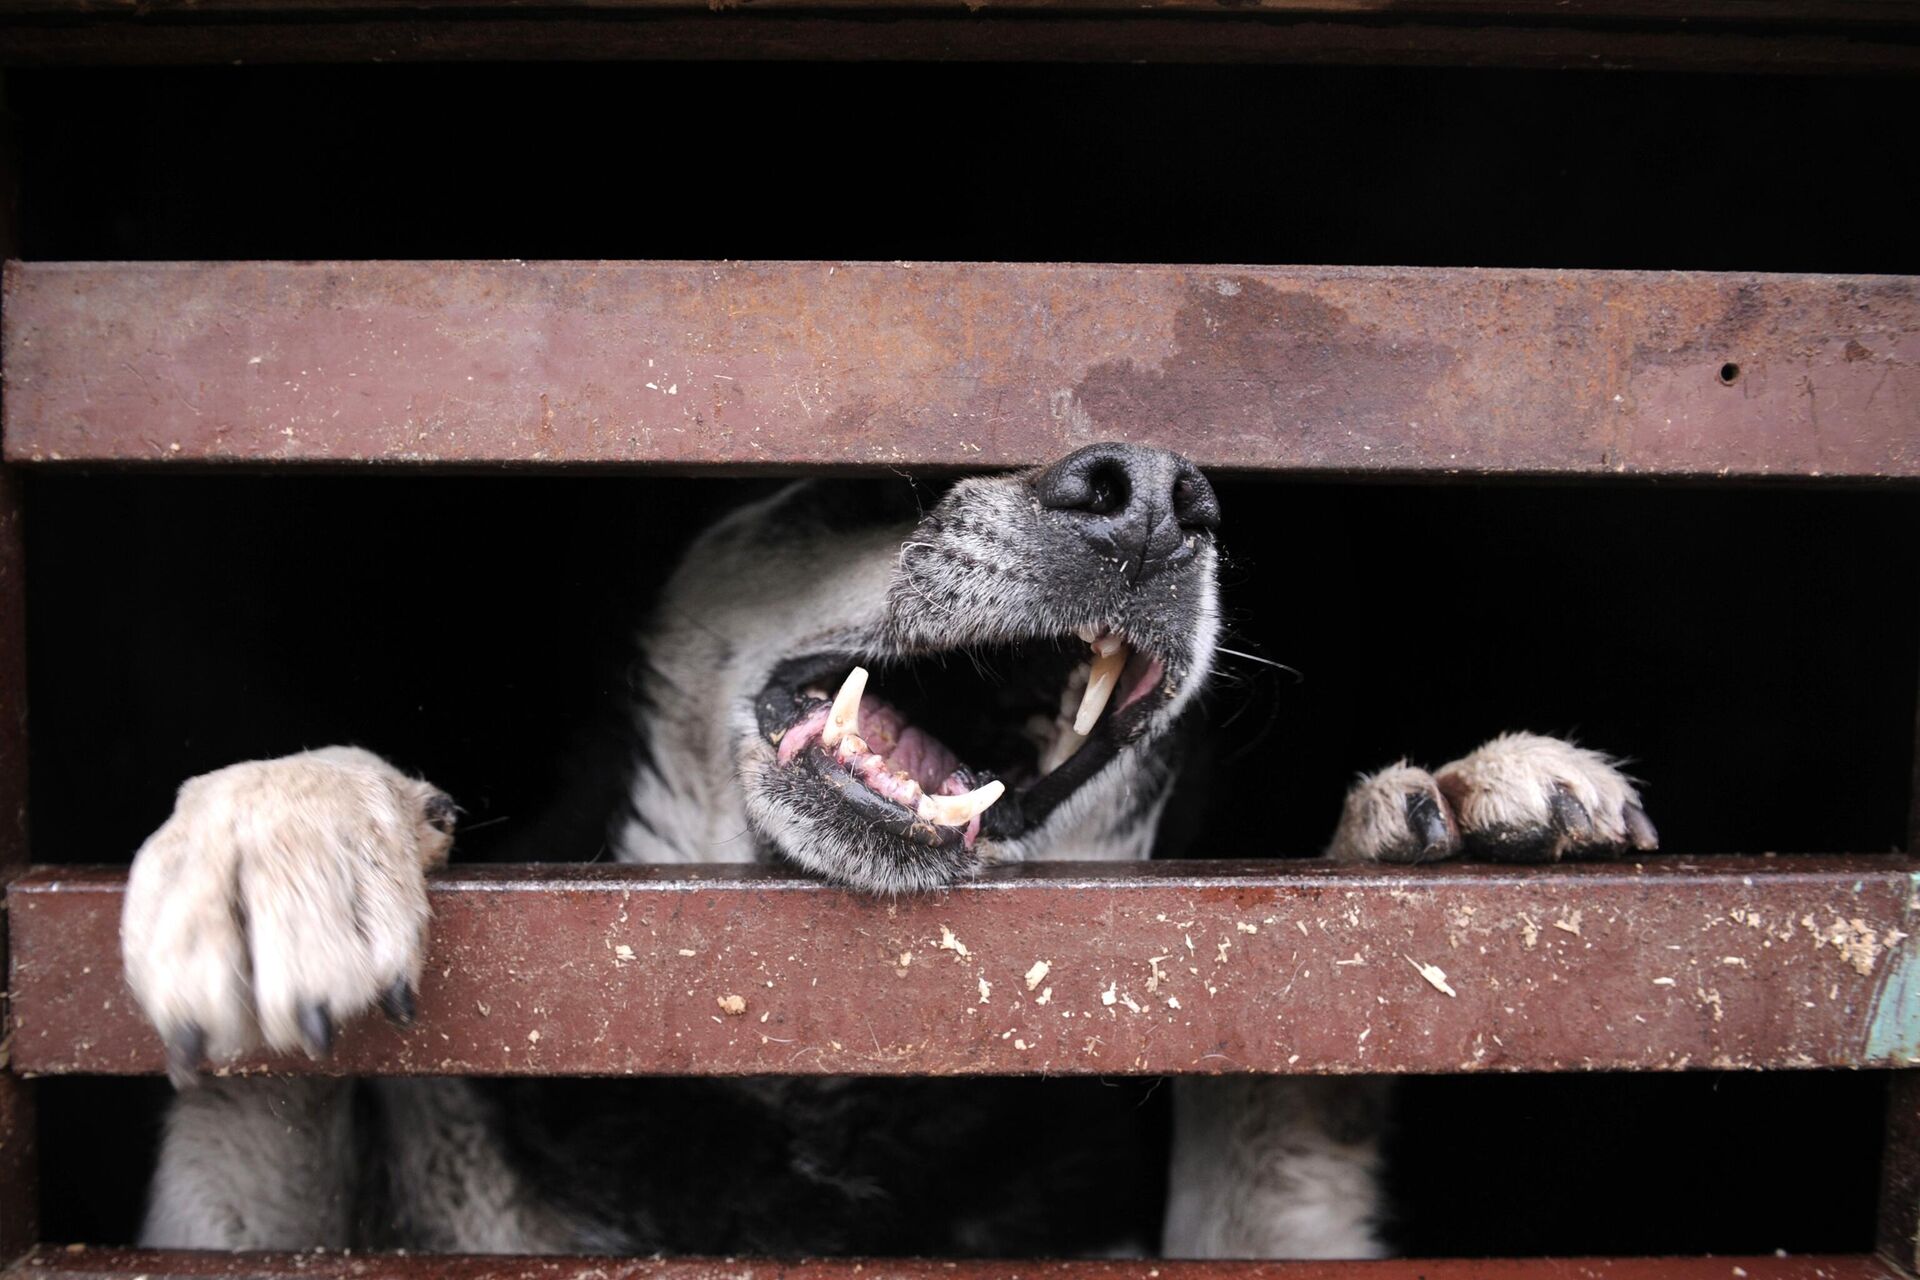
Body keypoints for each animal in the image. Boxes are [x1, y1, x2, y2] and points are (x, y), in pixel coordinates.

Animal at [116, 443, 1651, 1258]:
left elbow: (1280, 1101)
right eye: (854, 478)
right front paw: (282, 829)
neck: (818, 1085)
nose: (1157, 495)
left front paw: (1444, 819)